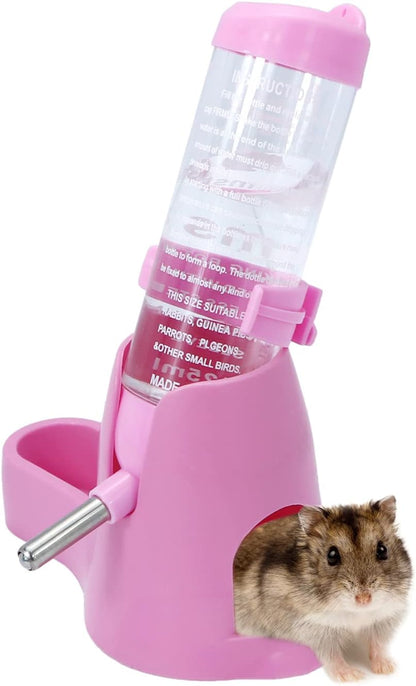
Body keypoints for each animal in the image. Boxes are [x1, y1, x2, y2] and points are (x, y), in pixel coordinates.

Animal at [233, 496, 412, 682]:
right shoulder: (315, 628)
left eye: (382, 550)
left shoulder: (383, 620)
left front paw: (387, 668)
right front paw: (352, 676)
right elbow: (332, 655)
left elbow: (377, 644)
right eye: (331, 555)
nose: (364, 599)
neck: (356, 613)